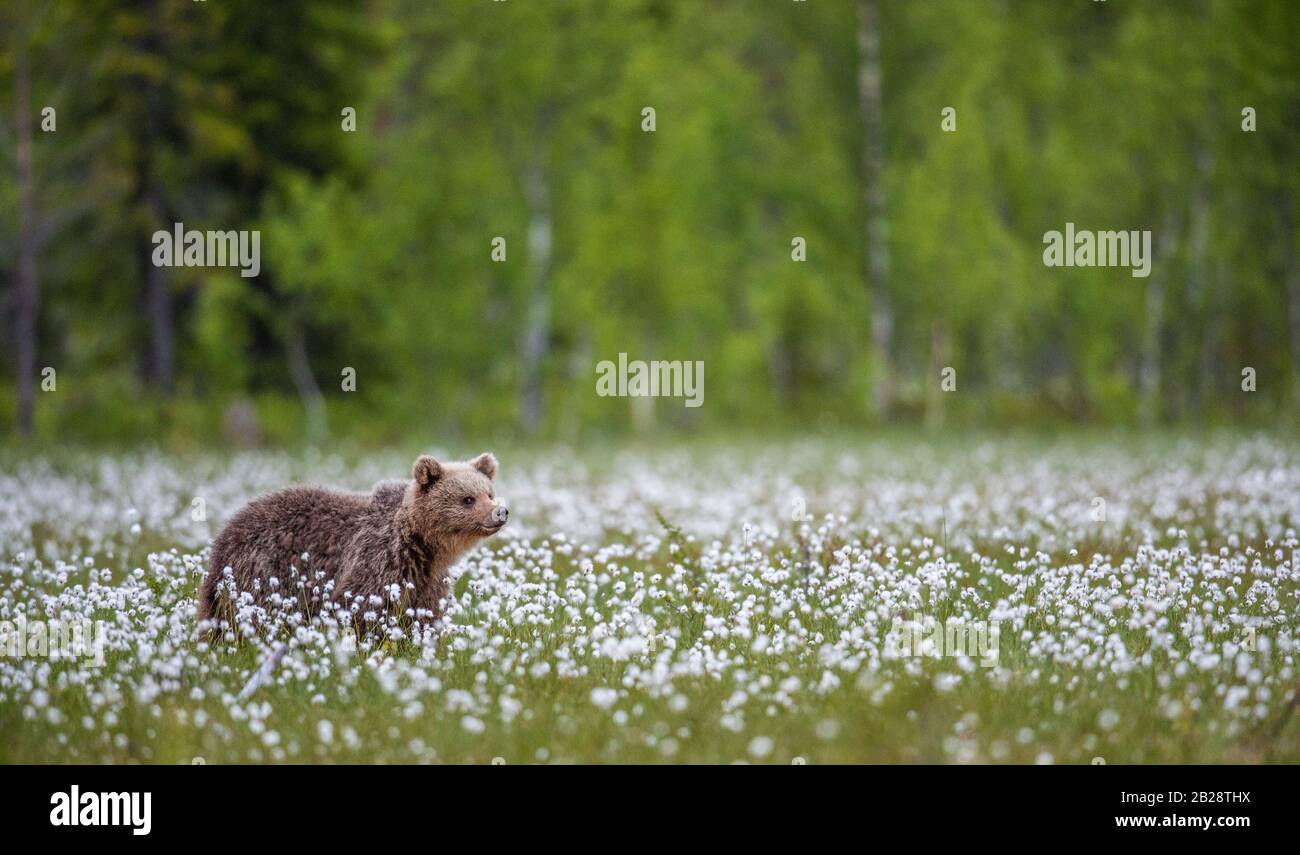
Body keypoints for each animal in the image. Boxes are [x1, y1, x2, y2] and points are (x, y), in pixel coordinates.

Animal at [198, 452, 506, 638]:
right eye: (467, 499)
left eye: (489, 493)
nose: (500, 512)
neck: (423, 545)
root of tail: (223, 538)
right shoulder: (379, 560)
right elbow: (362, 606)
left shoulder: (426, 578)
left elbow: (423, 614)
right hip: (262, 569)